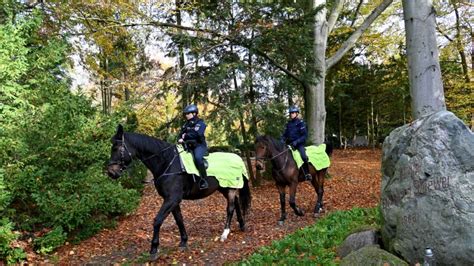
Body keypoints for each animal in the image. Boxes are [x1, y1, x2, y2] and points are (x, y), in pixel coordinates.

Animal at [105, 125, 250, 260]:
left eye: (116, 148)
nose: (111, 172)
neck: (167, 163)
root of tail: (237, 157)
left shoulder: (172, 199)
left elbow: (157, 220)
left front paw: (154, 249)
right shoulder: (172, 200)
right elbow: (179, 219)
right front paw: (183, 242)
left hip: (230, 187)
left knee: (230, 208)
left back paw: (225, 234)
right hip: (224, 187)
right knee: (236, 203)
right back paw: (241, 225)